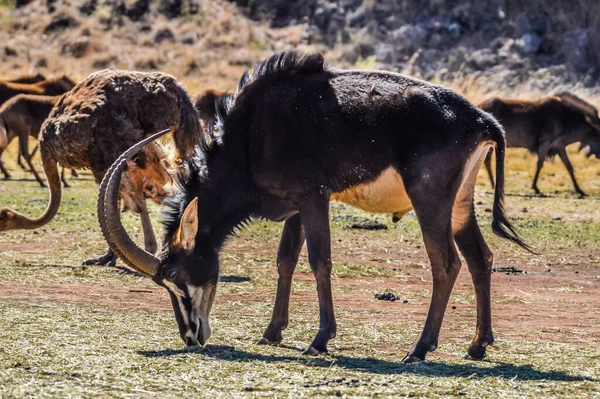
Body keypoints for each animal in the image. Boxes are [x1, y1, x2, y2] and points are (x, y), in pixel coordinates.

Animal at [99, 51, 528, 364]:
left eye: (174, 275)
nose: (191, 336)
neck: (251, 134)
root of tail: (483, 119)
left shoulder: (313, 197)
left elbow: (319, 261)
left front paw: (319, 339)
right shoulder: (294, 207)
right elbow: (285, 260)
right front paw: (272, 332)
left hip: (430, 201)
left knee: (447, 263)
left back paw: (420, 349)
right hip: (460, 205)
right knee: (480, 258)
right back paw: (477, 345)